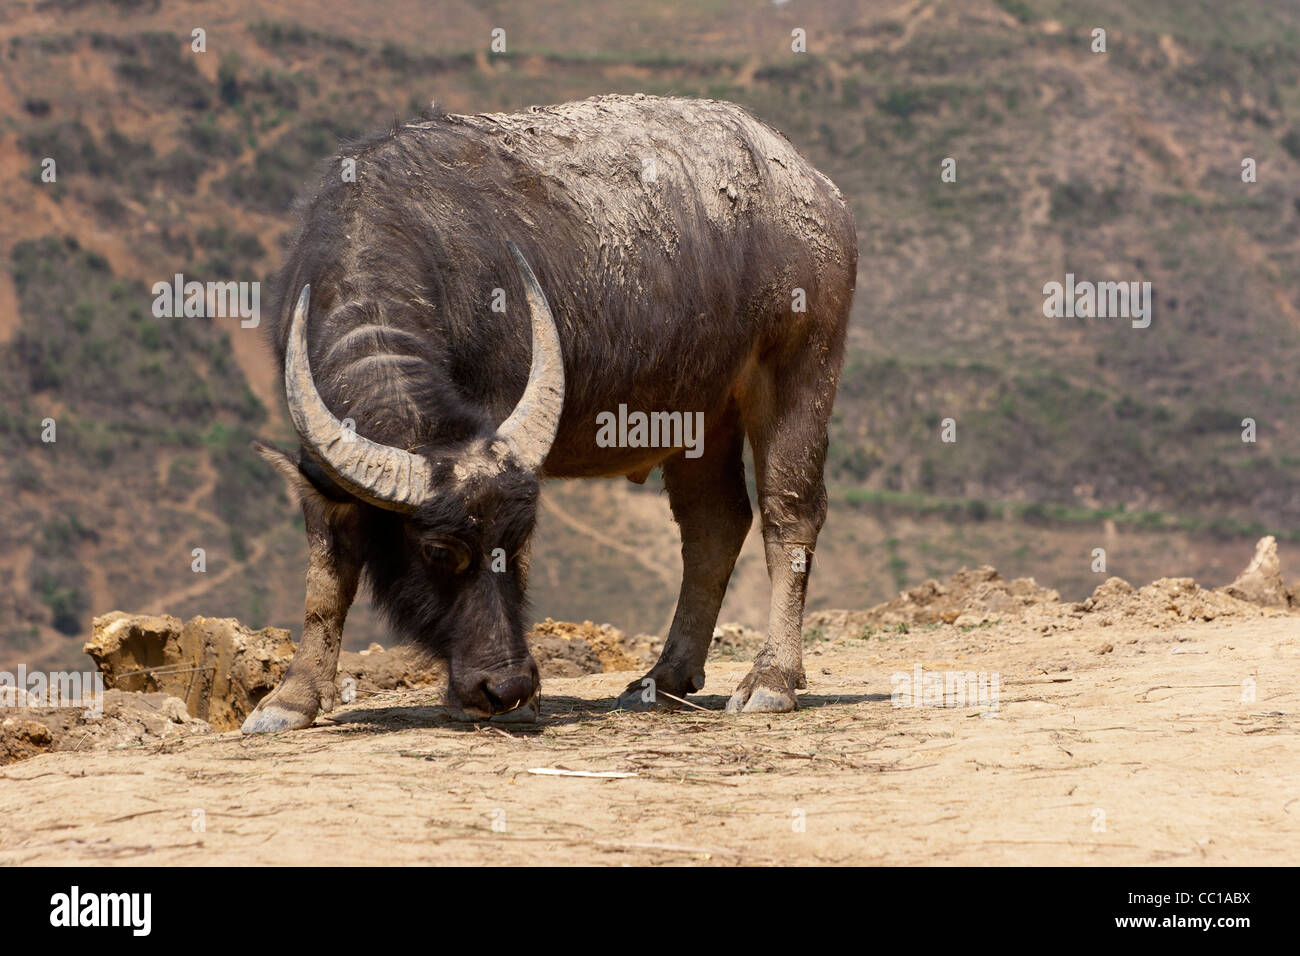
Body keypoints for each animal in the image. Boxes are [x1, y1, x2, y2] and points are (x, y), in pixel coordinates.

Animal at [243, 93, 857, 733]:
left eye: (516, 544)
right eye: (438, 552)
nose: (505, 685)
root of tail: (813, 186)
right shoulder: (320, 458)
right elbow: (325, 579)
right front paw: (290, 697)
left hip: (800, 369)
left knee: (789, 513)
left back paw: (771, 678)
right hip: (699, 413)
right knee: (714, 524)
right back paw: (663, 678)